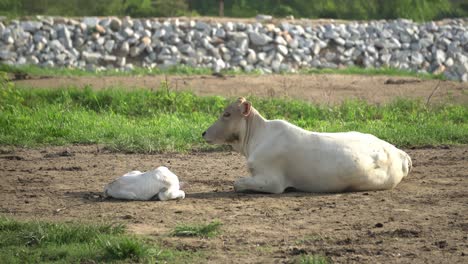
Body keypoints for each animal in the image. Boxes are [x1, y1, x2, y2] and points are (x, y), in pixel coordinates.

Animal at [203, 97, 412, 194]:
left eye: (227, 114)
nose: (203, 132)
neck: (257, 137)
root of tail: (398, 152)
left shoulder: (272, 181)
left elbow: (237, 183)